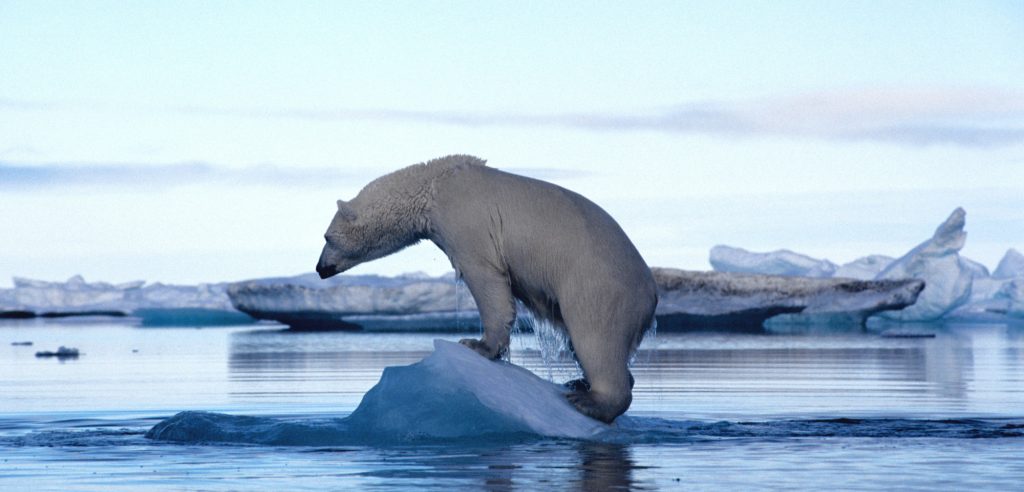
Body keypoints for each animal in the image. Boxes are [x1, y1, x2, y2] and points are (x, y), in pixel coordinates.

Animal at [315, 154, 659, 422]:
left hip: (597, 284)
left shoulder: (466, 220)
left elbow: (485, 276)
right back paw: (579, 383)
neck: (434, 186)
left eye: (327, 237)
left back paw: (589, 400)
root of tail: (652, 293)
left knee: (595, 337)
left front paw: (477, 344)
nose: (320, 269)